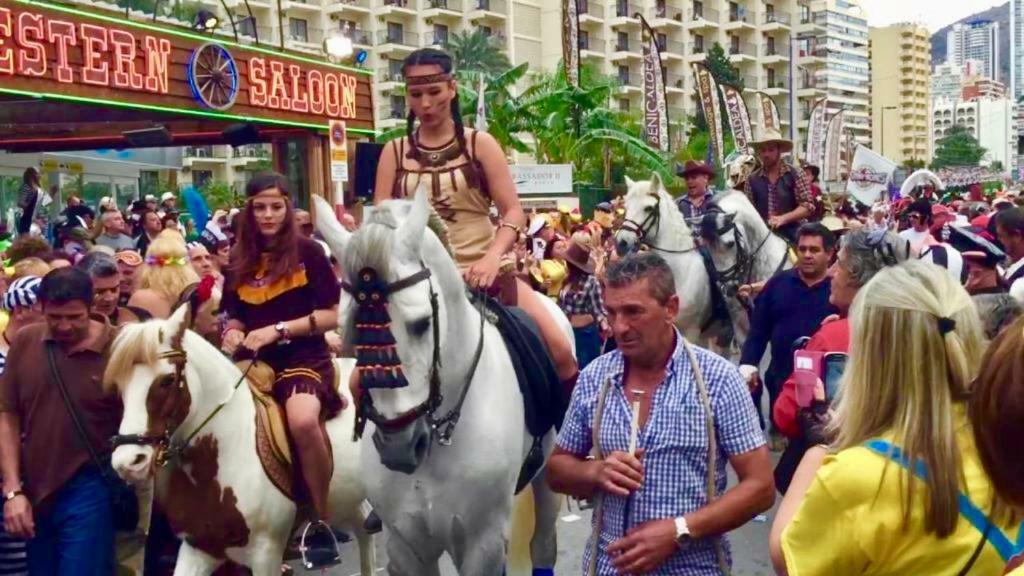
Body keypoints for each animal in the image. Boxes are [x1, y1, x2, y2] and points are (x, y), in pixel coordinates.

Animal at [311, 190, 569, 569]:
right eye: (350, 330)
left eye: (421, 323)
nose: (399, 447)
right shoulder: (405, 545)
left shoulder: (482, 544)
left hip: (548, 481)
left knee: (544, 545)